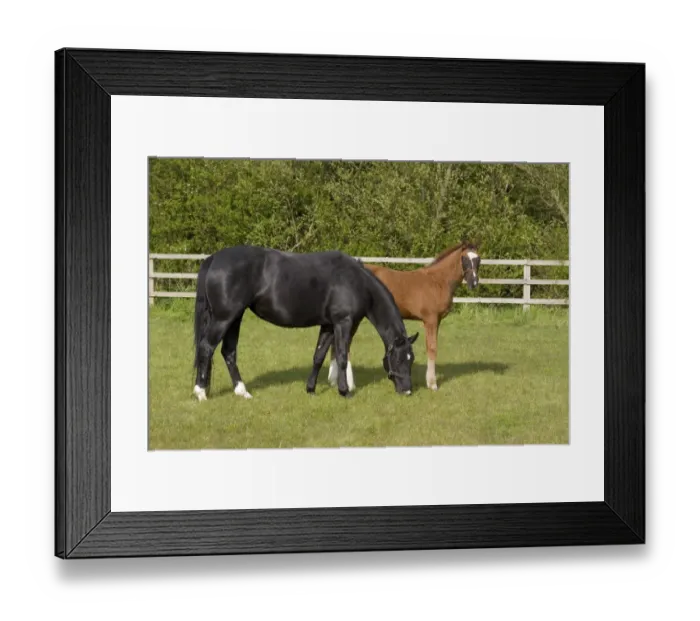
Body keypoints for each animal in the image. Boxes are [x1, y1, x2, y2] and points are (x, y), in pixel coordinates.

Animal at [191, 245, 419, 401]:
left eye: (412, 359)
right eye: (400, 359)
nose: (407, 390)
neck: (356, 282)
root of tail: (214, 258)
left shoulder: (328, 325)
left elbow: (318, 356)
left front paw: (310, 389)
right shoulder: (343, 323)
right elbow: (342, 357)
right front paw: (344, 391)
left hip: (235, 318)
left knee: (228, 352)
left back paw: (242, 391)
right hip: (224, 318)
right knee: (206, 348)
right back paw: (201, 392)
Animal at [328, 240, 480, 392]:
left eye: (478, 259)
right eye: (464, 259)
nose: (474, 283)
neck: (438, 281)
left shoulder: (436, 321)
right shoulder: (430, 320)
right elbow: (432, 348)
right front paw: (432, 384)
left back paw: (333, 380)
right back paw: (350, 384)